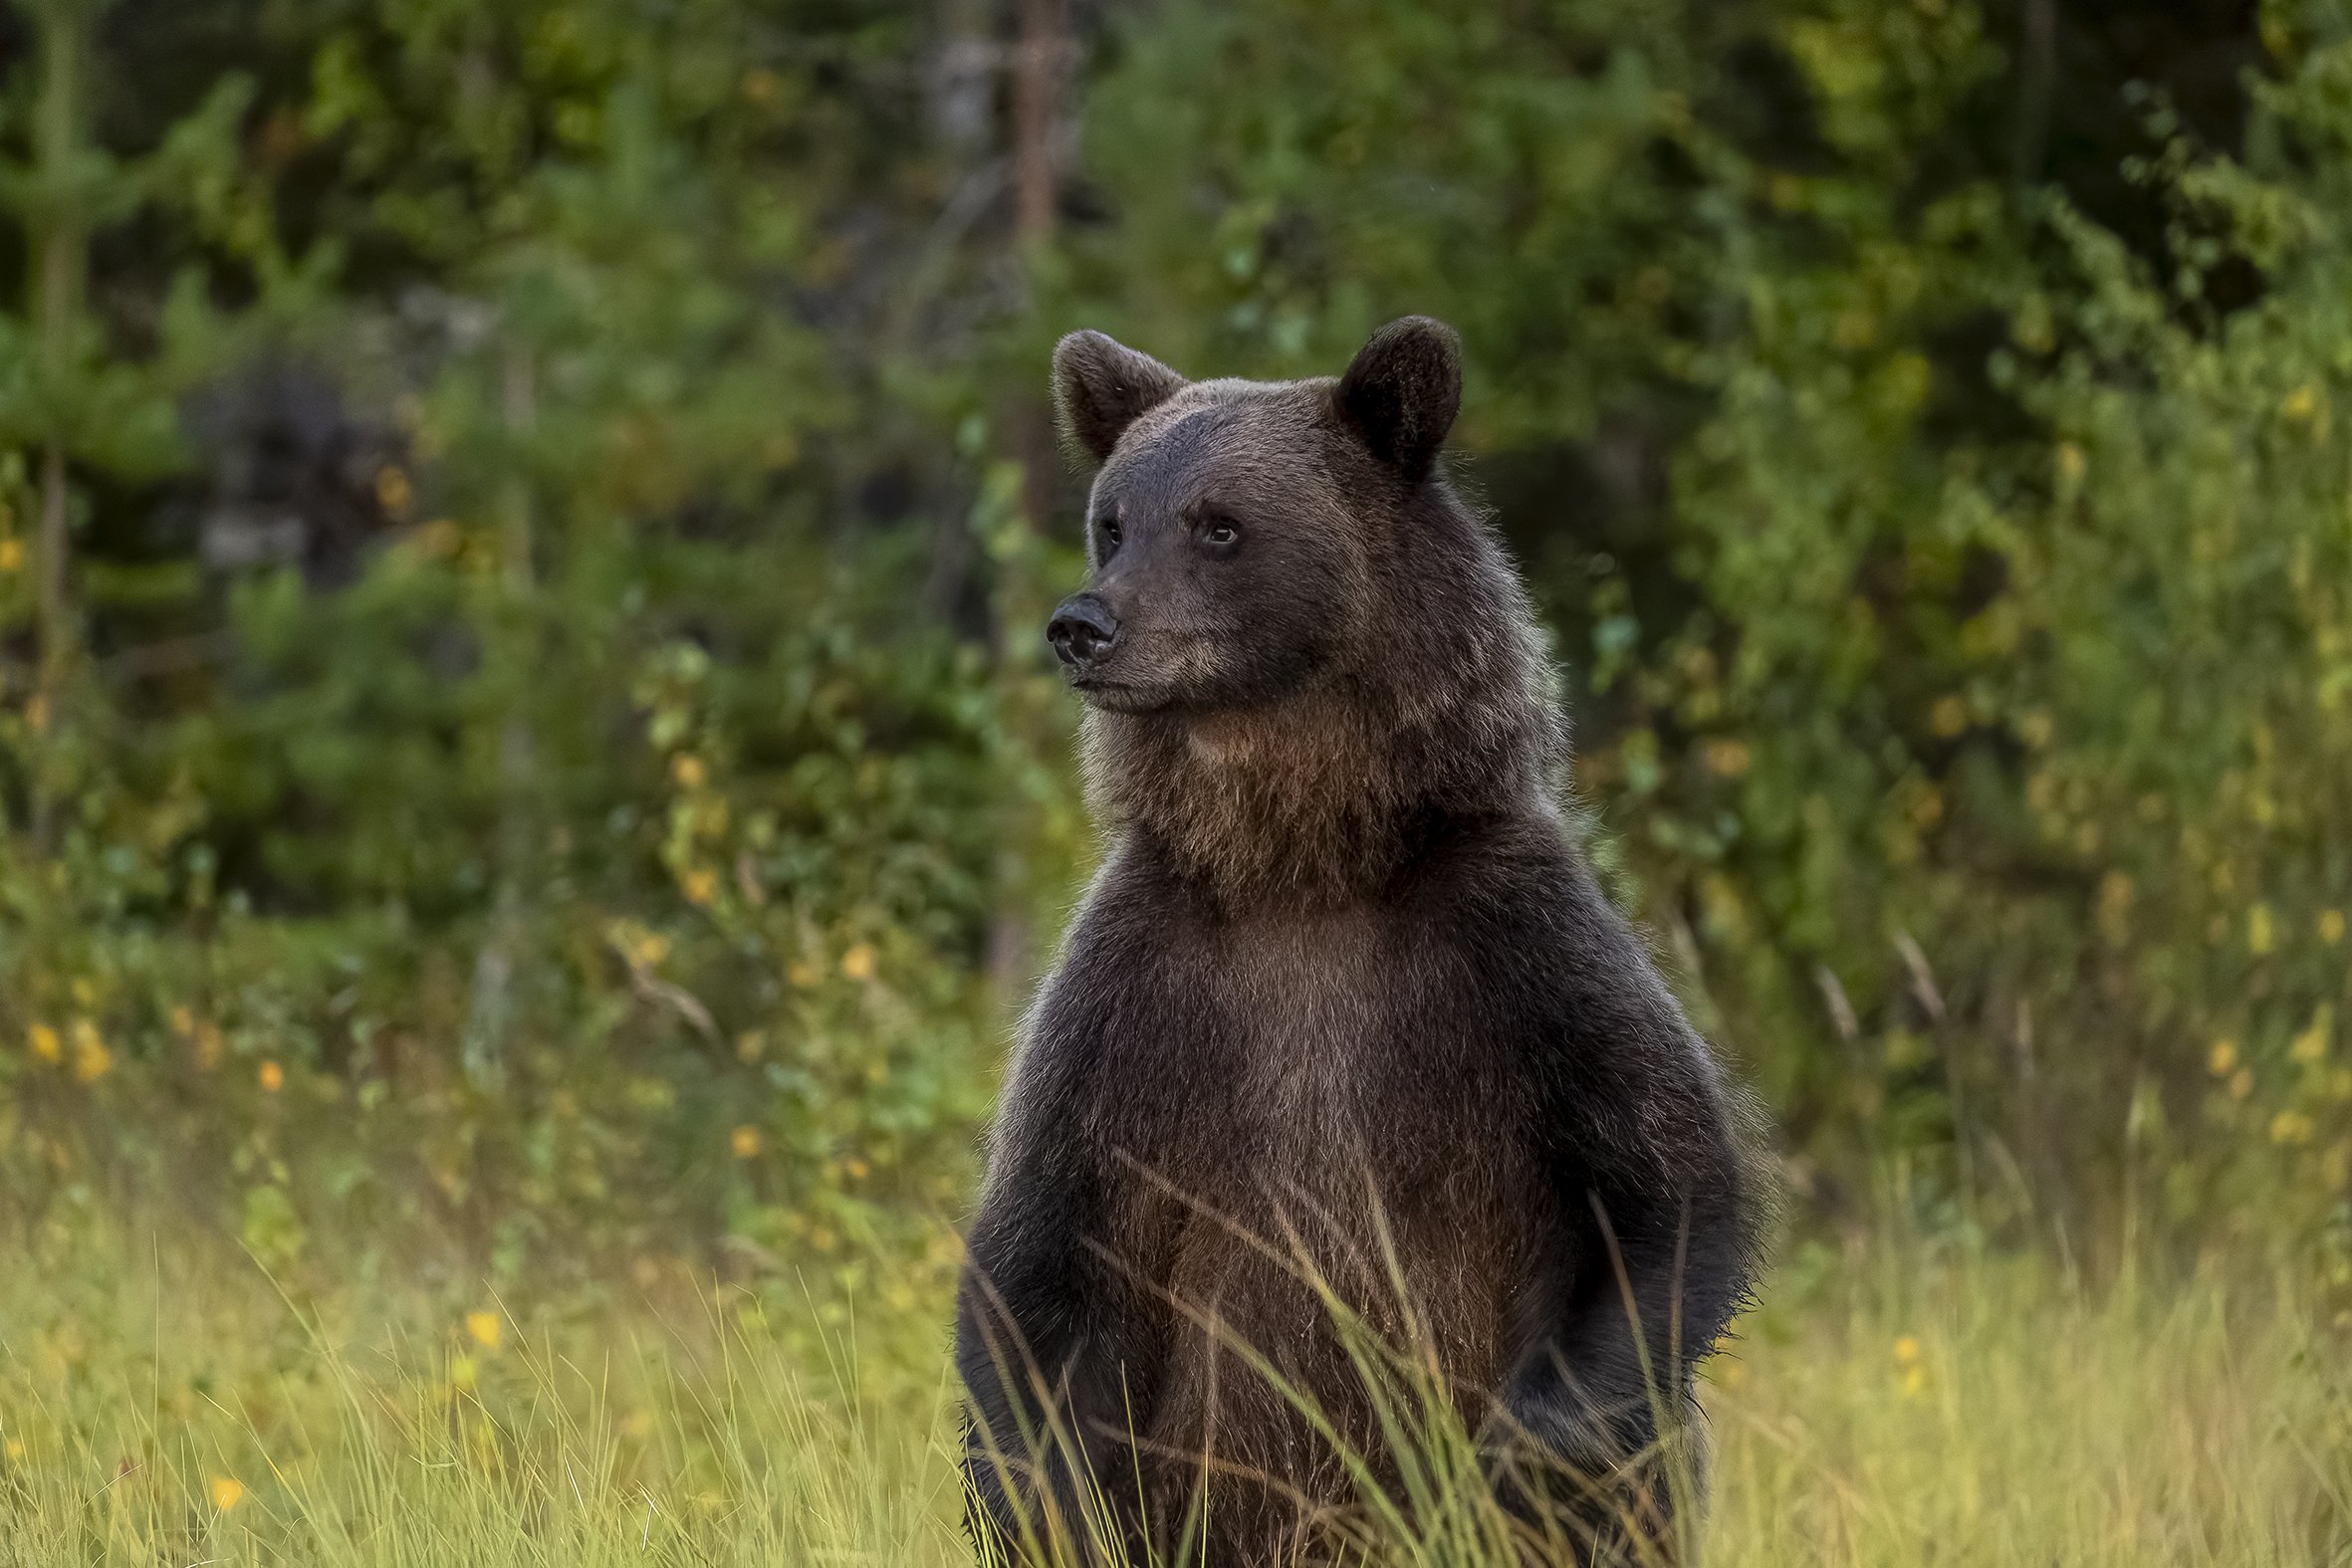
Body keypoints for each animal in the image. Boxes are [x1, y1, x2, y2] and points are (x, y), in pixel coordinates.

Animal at [955, 317, 1759, 1567]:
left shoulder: (1511, 950)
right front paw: (1047, 1500)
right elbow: (1040, 1258)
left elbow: (1663, 1188)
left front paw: (1520, 1459)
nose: (1083, 625)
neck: (1305, 864)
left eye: (1218, 523)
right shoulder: (1137, 989)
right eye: (1113, 518)